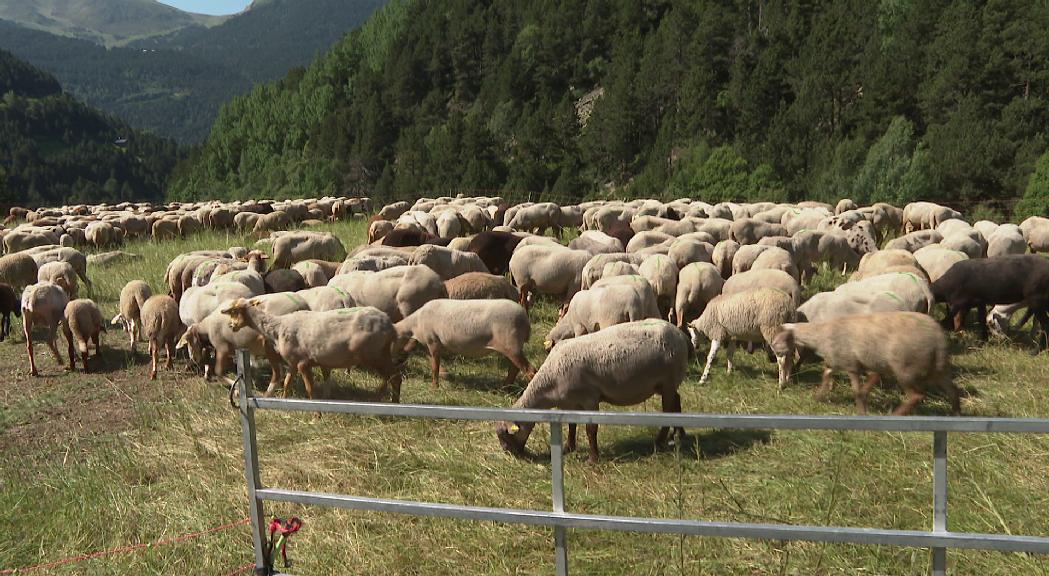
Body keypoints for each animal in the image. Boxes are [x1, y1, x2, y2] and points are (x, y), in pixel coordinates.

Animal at [219, 300, 402, 400]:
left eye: (234, 311)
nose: (231, 326)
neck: (277, 328)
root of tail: (390, 325)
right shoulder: (292, 362)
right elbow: (287, 383)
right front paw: (284, 401)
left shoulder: (303, 362)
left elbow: (309, 388)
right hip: (382, 354)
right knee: (392, 378)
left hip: (374, 354)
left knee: (394, 377)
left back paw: (388, 402)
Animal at [396, 297, 537, 388]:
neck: (415, 324)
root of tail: (525, 318)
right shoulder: (427, 344)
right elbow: (432, 362)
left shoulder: (433, 341)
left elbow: (435, 367)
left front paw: (434, 387)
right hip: (510, 347)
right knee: (514, 369)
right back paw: (504, 388)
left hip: (511, 343)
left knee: (530, 370)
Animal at [493, 318, 688, 461]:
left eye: (505, 436)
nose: (513, 455)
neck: (550, 381)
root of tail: (679, 333)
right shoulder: (569, 402)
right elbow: (571, 425)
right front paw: (568, 448)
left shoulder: (590, 398)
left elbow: (590, 429)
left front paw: (593, 459)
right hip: (664, 384)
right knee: (676, 401)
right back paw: (679, 435)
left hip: (669, 380)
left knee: (668, 410)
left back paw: (659, 442)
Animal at [772, 312, 960, 415]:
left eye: (776, 341)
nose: (775, 352)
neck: (820, 335)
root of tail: (938, 336)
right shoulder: (837, 361)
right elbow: (826, 377)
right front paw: (818, 397)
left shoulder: (851, 364)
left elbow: (856, 390)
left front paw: (861, 411)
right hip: (938, 368)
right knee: (953, 390)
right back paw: (956, 414)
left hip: (905, 368)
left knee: (916, 396)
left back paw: (896, 415)